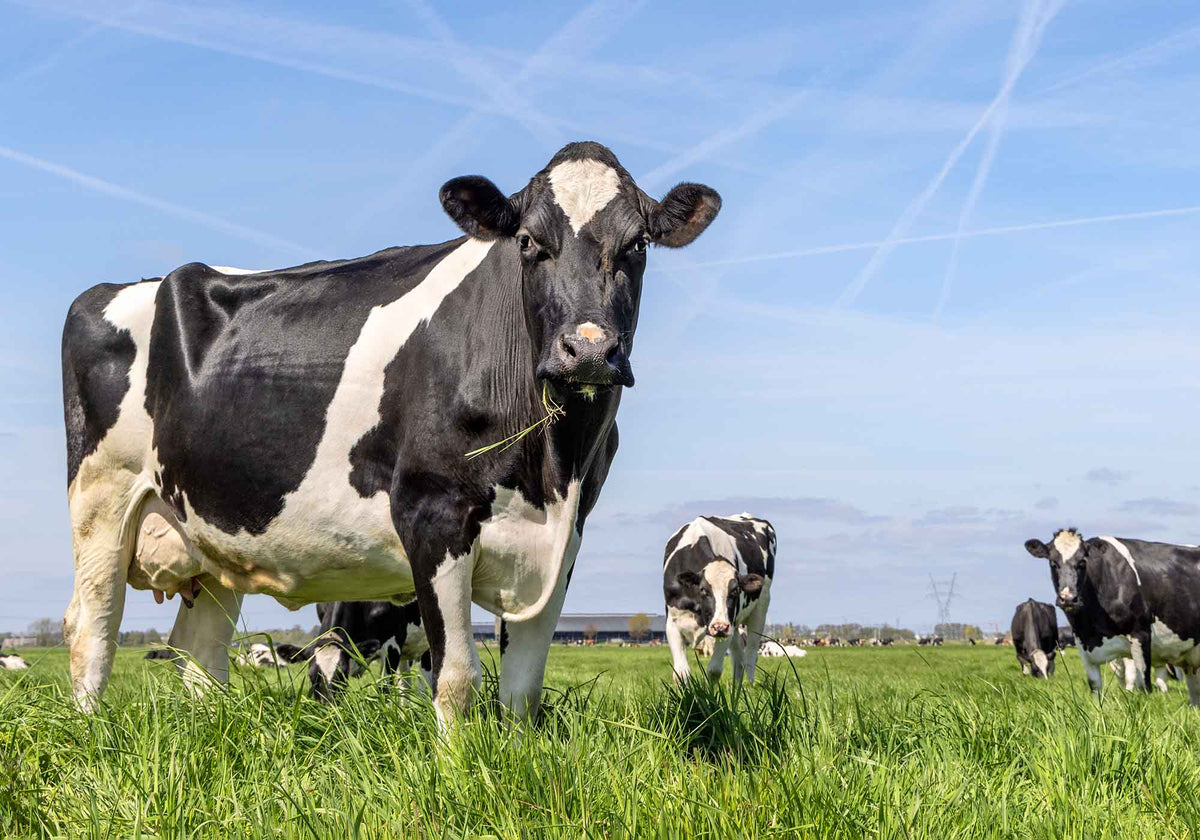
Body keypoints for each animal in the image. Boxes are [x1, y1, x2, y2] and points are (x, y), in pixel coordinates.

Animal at [59, 140, 721, 724]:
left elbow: (523, 687)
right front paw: (459, 770)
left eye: (637, 243)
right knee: (93, 624)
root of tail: (124, 286)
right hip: (102, 498)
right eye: (529, 242)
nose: (587, 350)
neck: (552, 467)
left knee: (199, 653)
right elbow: (456, 678)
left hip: (211, 537)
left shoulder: (566, 536)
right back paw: (91, 732)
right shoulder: (432, 513)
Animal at [663, 513, 775, 684]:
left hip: (760, 607)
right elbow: (681, 674)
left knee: (750, 655)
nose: (719, 627)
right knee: (738, 658)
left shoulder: (728, 625)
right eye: (703, 590)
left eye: (735, 590)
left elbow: (714, 670)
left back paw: (750, 687)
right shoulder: (672, 623)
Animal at [1025, 528, 1200, 703]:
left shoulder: (1140, 634)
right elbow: (1095, 686)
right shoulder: (1082, 643)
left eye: (1082, 562)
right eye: (1053, 563)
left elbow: (1143, 684)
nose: (1068, 598)